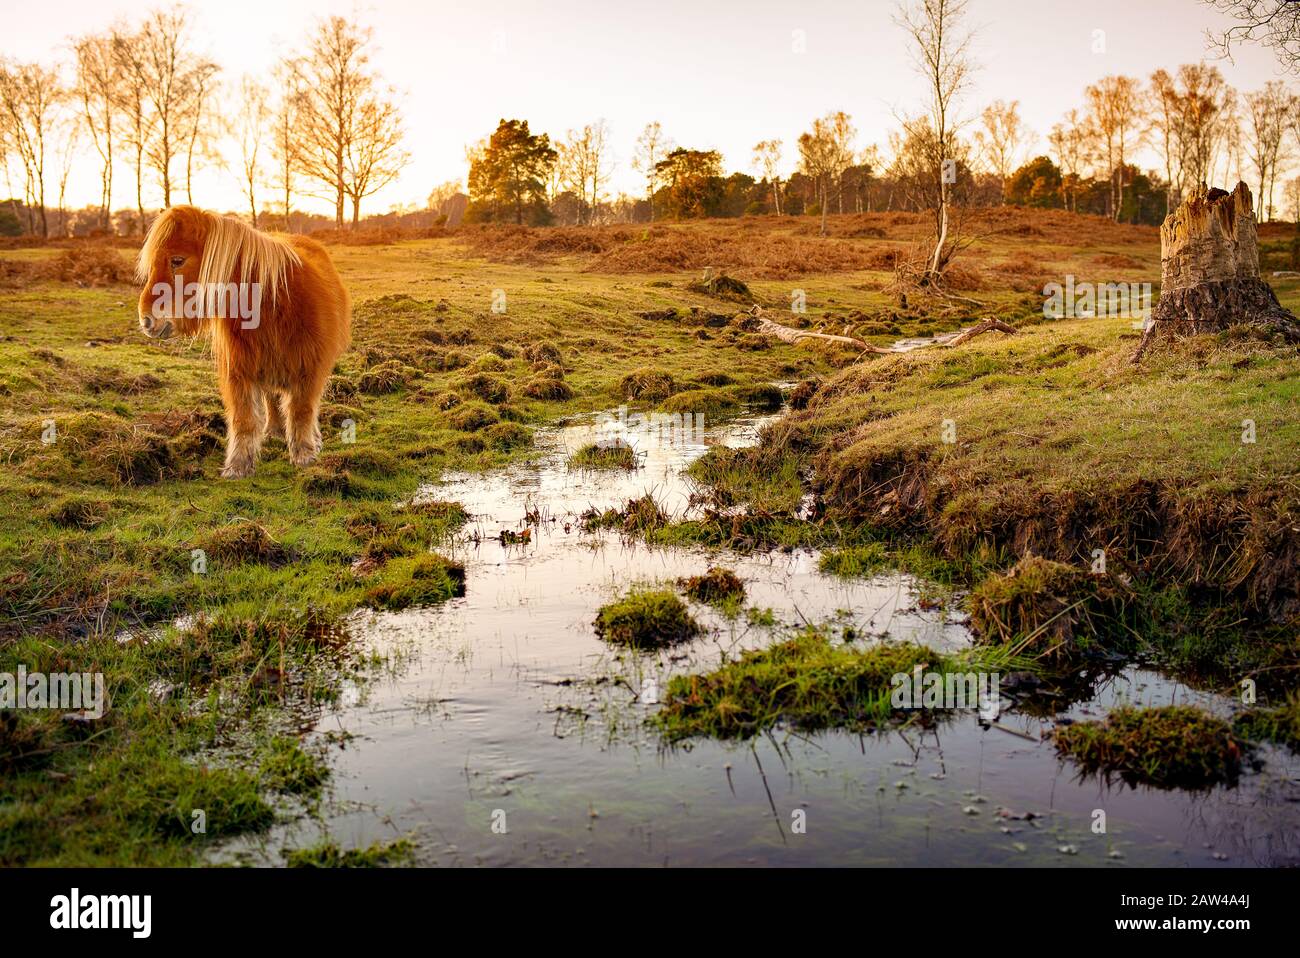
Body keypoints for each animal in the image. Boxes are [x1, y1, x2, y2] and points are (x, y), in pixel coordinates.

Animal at [137, 207, 351, 478]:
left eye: (177, 260)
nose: (146, 320)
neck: (273, 303)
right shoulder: (239, 371)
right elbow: (244, 418)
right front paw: (238, 466)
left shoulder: (310, 368)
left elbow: (302, 411)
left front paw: (304, 455)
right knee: (271, 400)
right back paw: (274, 432)